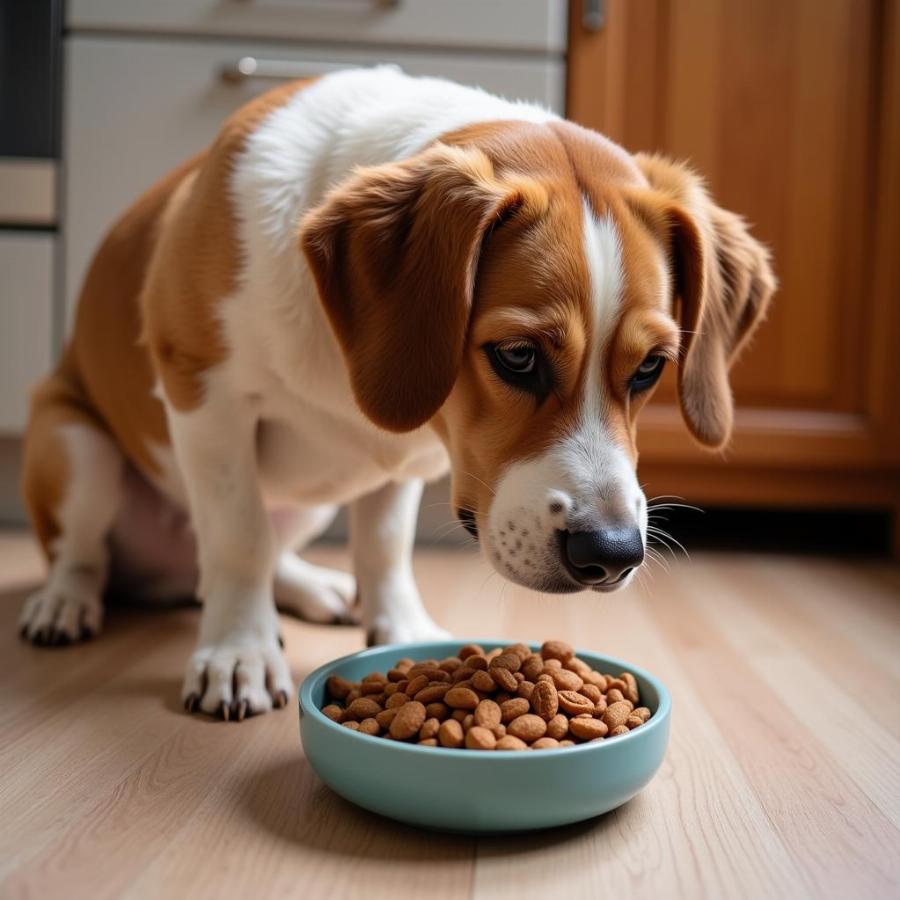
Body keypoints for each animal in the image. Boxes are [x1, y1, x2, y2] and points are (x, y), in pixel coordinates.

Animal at [17, 68, 772, 716]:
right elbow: (238, 537)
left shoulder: (408, 460)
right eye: (518, 356)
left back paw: (311, 587)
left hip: (305, 508)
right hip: (73, 445)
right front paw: (238, 652)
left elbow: (382, 544)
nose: (611, 554)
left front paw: (399, 628)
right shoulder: (203, 391)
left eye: (651, 367)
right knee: (88, 553)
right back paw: (65, 603)